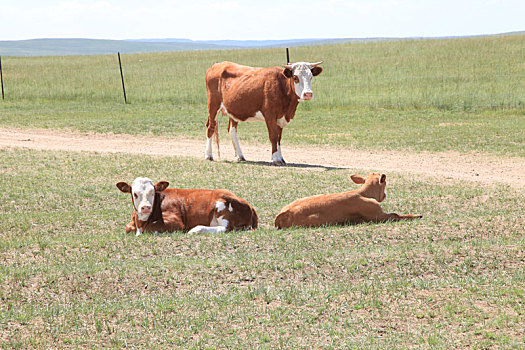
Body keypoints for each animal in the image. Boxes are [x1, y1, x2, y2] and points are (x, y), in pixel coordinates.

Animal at [117, 178, 258, 235]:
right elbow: (128, 227)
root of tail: (250, 205)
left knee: (225, 228)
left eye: (152, 192)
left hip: (221, 206)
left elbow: (150, 228)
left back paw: (196, 230)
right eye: (135, 194)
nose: (146, 207)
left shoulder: (176, 222)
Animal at [274, 173, 422, 230]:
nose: (385, 195)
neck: (363, 193)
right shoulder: (379, 215)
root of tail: (281, 215)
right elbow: (396, 215)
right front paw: (417, 215)